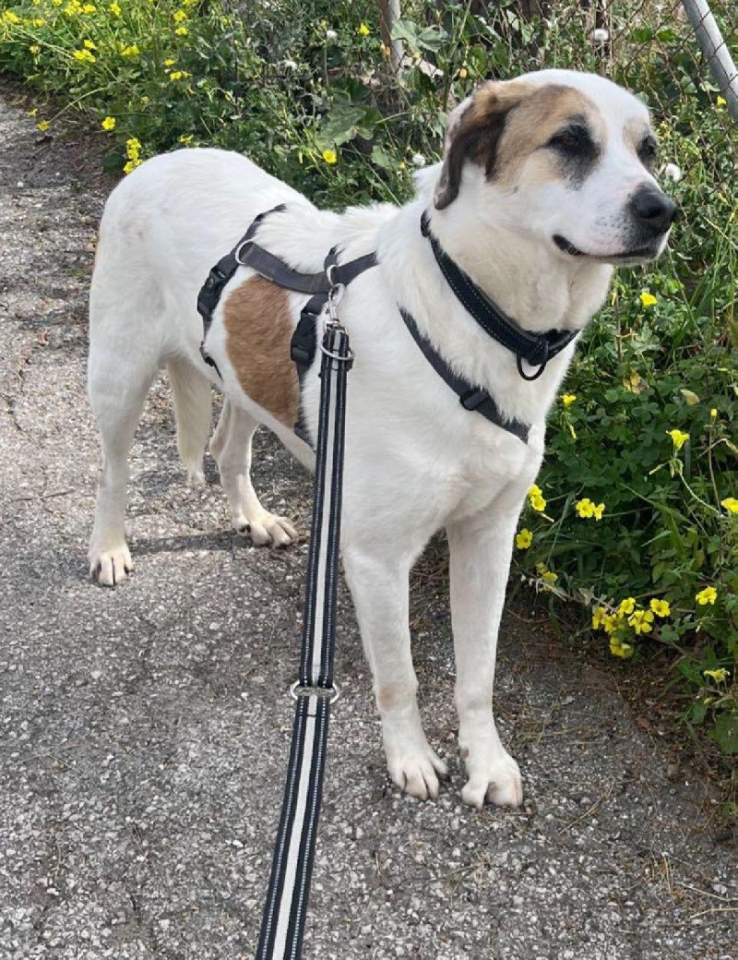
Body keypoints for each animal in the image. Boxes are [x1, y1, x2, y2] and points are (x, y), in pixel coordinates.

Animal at [87, 70, 675, 808]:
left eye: (647, 150)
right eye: (570, 141)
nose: (663, 210)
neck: (469, 310)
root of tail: (162, 159)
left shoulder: (488, 537)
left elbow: (478, 673)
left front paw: (485, 760)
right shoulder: (375, 558)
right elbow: (400, 676)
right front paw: (411, 758)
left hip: (245, 374)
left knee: (228, 447)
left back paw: (254, 518)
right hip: (118, 375)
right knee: (112, 470)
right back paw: (109, 548)